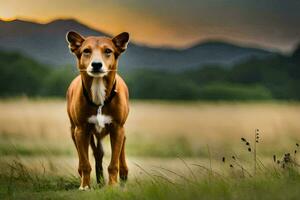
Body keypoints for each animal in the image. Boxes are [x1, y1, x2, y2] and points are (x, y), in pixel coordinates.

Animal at [66, 30, 129, 190]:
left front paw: (112, 185)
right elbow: (84, 163)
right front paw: (85, 186)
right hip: (75, 130)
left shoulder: (117, 128)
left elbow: (114, 163)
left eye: (108, 51)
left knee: (121, 149)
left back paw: (123, 174)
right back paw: (97, 179)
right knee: (96, 154)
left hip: (120, 130)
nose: (96, 64)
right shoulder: (81, 130)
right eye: (86, 51)